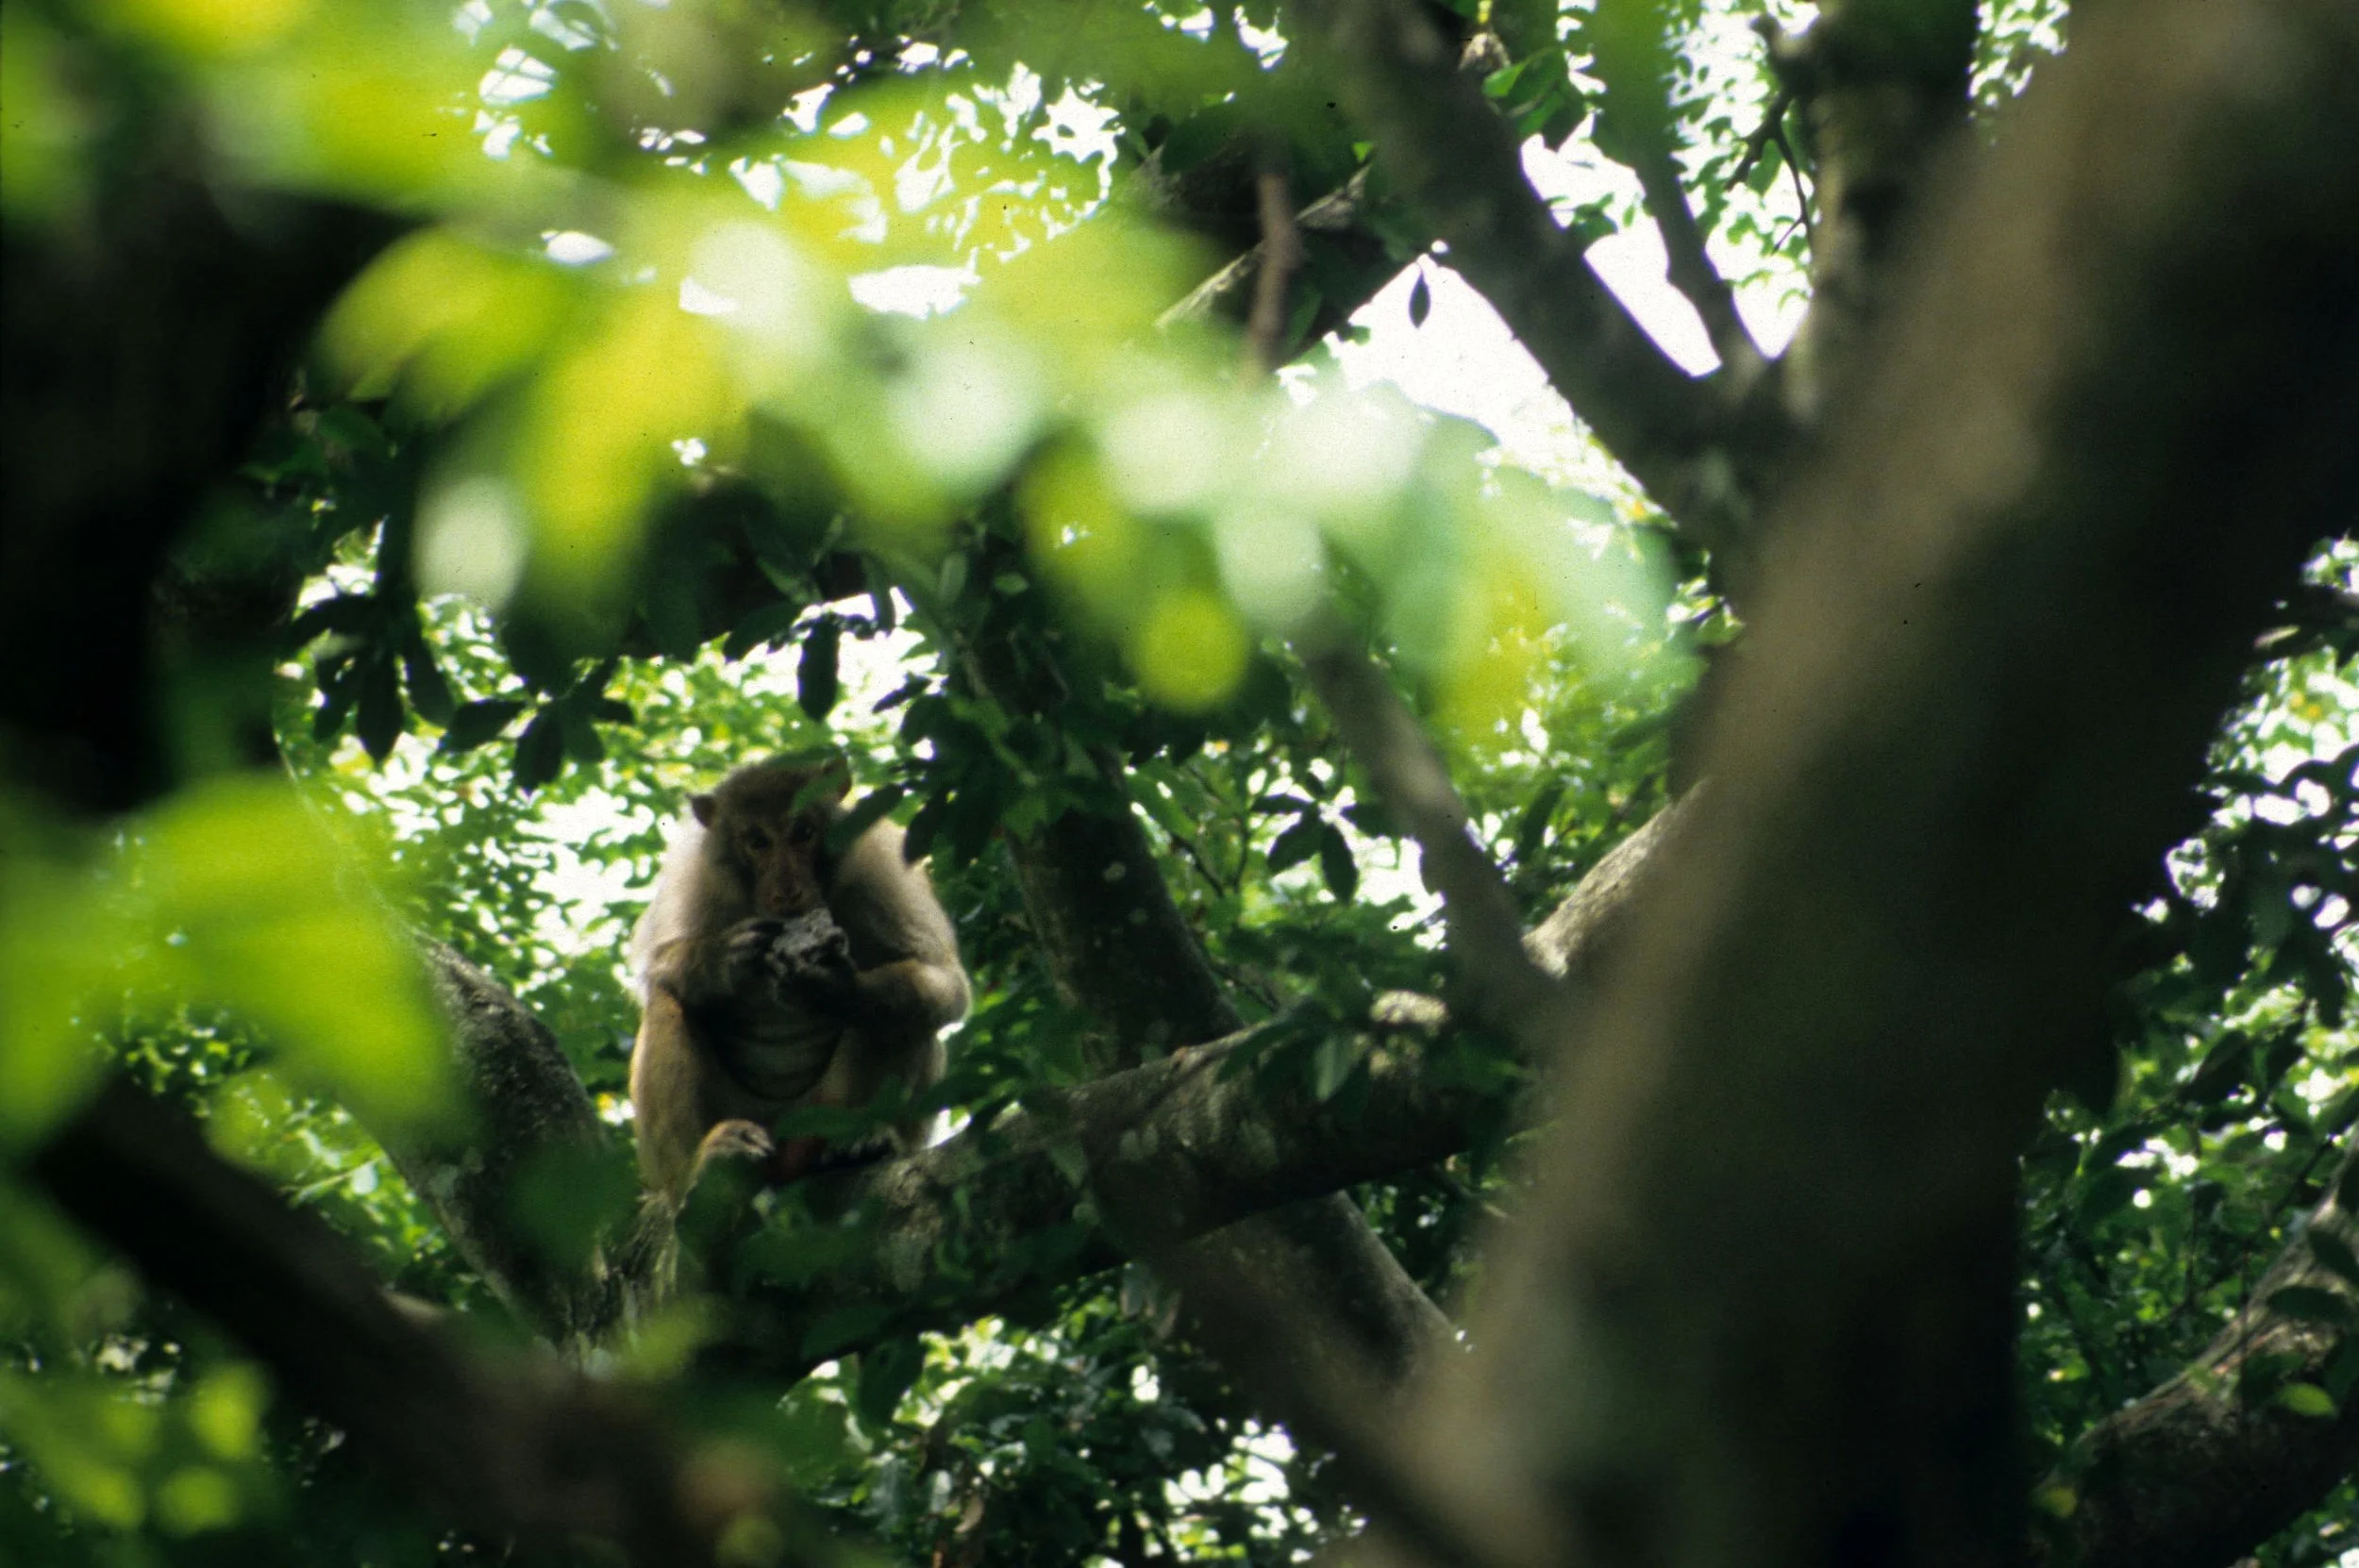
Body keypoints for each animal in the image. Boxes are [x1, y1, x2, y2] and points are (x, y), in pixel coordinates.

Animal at [627, 756, 969, 1208]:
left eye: (803, 832)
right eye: (757, 842)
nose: (787, 890)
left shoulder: (879, 864)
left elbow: (943, 981)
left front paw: (835, 988)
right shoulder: (696, 879)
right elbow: (659, 967)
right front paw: (724, 959)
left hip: (821, 1113)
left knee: (904, 1008)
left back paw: (864, 1141)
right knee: (670, 998)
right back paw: (701, 1170)